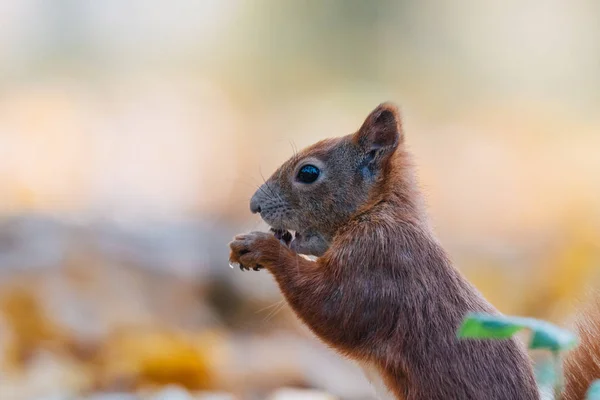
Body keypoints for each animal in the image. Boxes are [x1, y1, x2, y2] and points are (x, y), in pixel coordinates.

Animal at [229, 103, 596, 400]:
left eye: (308, 172)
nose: (254, 205)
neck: (376, 212)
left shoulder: (381, 264)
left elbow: (335, 308)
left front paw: (261, 247)